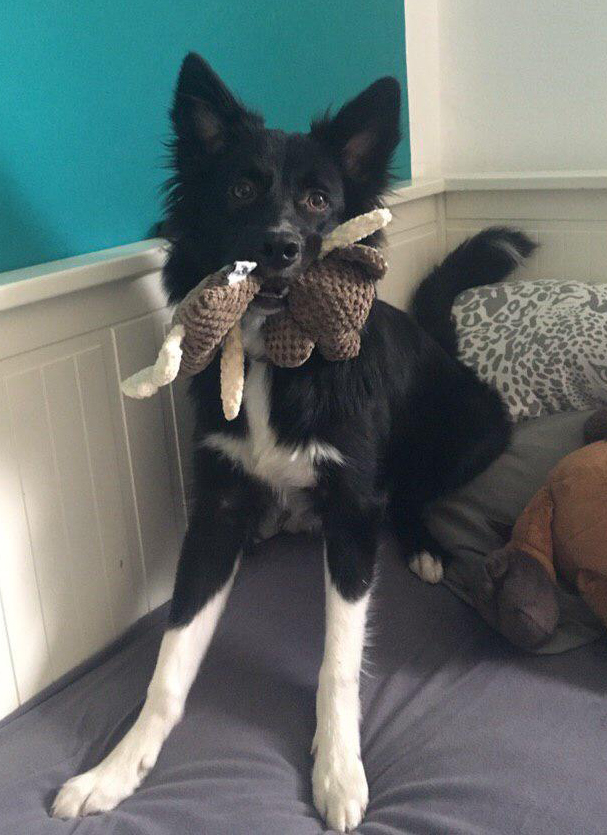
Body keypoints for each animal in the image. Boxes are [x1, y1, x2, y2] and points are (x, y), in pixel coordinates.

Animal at [52, 53, 534, 831]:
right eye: (241, 188)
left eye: (316, 199)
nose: (277, 247)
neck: (273, 357)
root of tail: (438, 341)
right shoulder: (215, 513)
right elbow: (169, 662)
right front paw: (116, 770)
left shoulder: (352, 511)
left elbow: (338, 662)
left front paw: (338, 771)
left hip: (474, 434)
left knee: (411, 492)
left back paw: (423, 547)